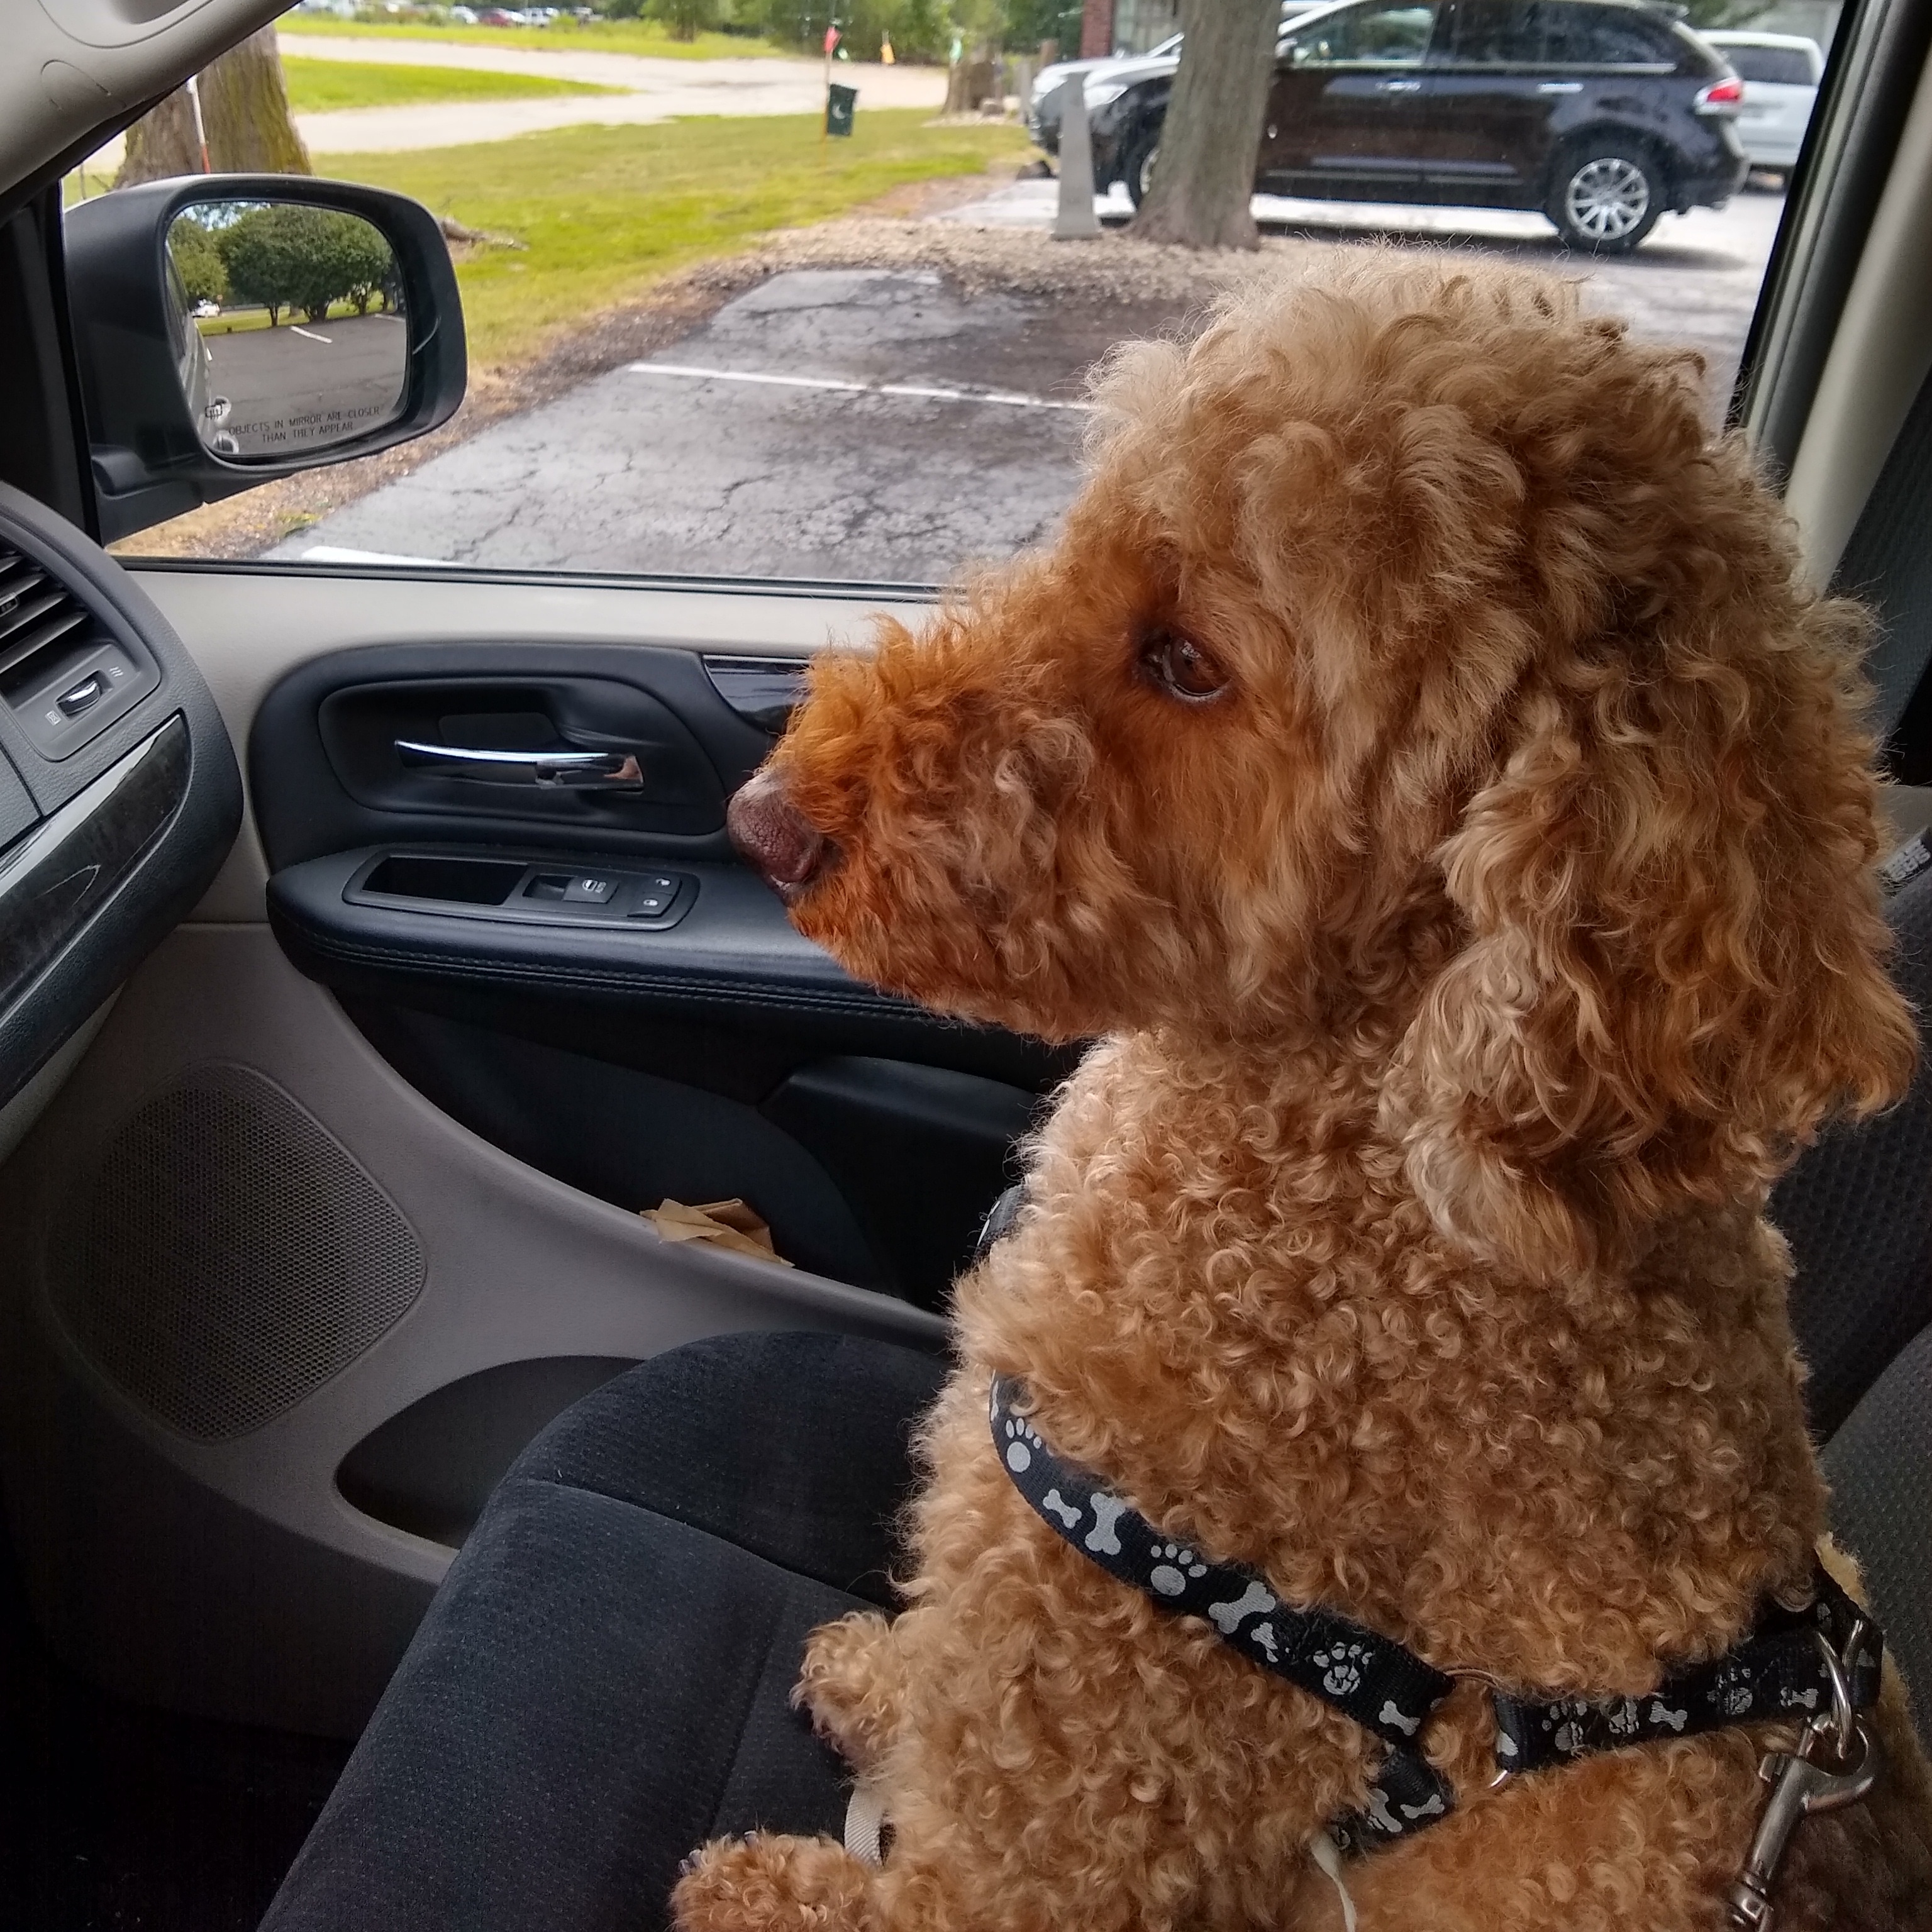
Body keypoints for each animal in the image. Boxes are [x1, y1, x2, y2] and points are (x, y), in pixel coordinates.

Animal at [684, 260, 1932, 1932]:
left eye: (1186, 660)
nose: (763, 819)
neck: (1353, 1161)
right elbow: (943, 1671)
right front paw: (879, 1675)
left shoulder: (1124, 1716)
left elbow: (982, 1866)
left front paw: (769, 1887)